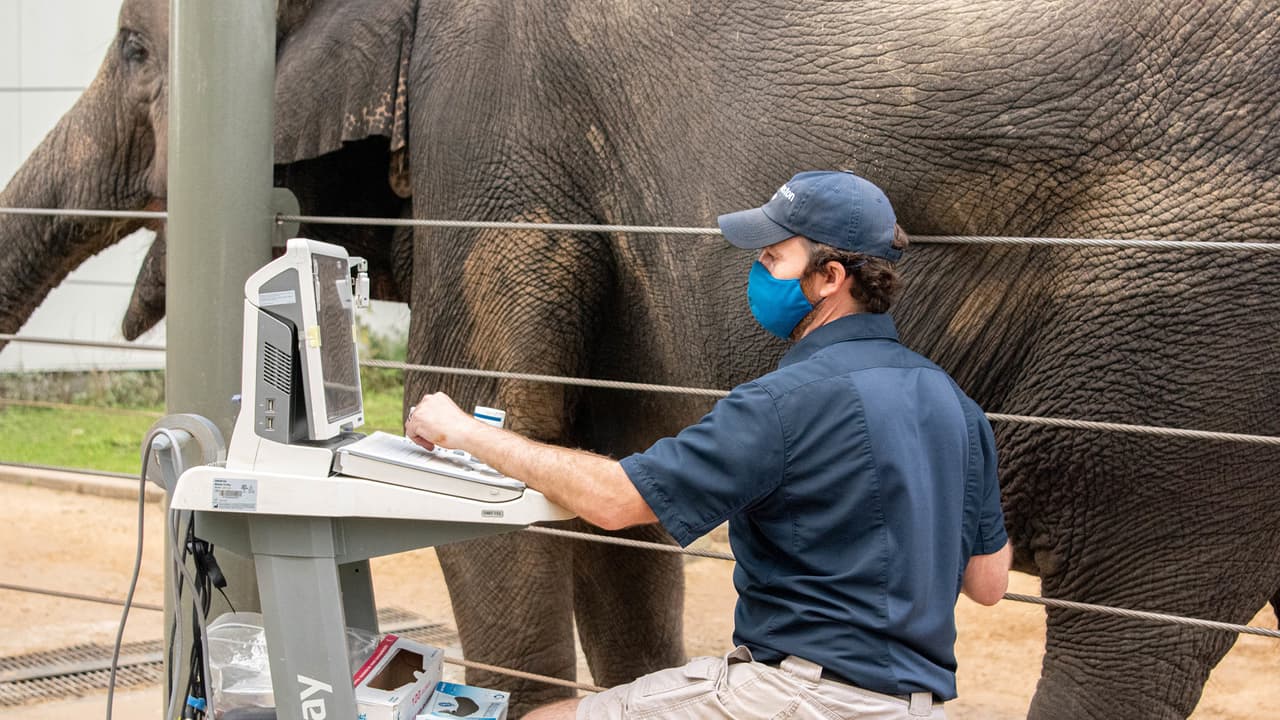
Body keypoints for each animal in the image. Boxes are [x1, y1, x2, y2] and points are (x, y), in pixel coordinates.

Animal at [1, 0, 1278, 717]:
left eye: (132, 49)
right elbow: (612, 482)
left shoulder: (494, 117)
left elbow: (509, 433)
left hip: (1191, 331)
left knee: (1130, 617)